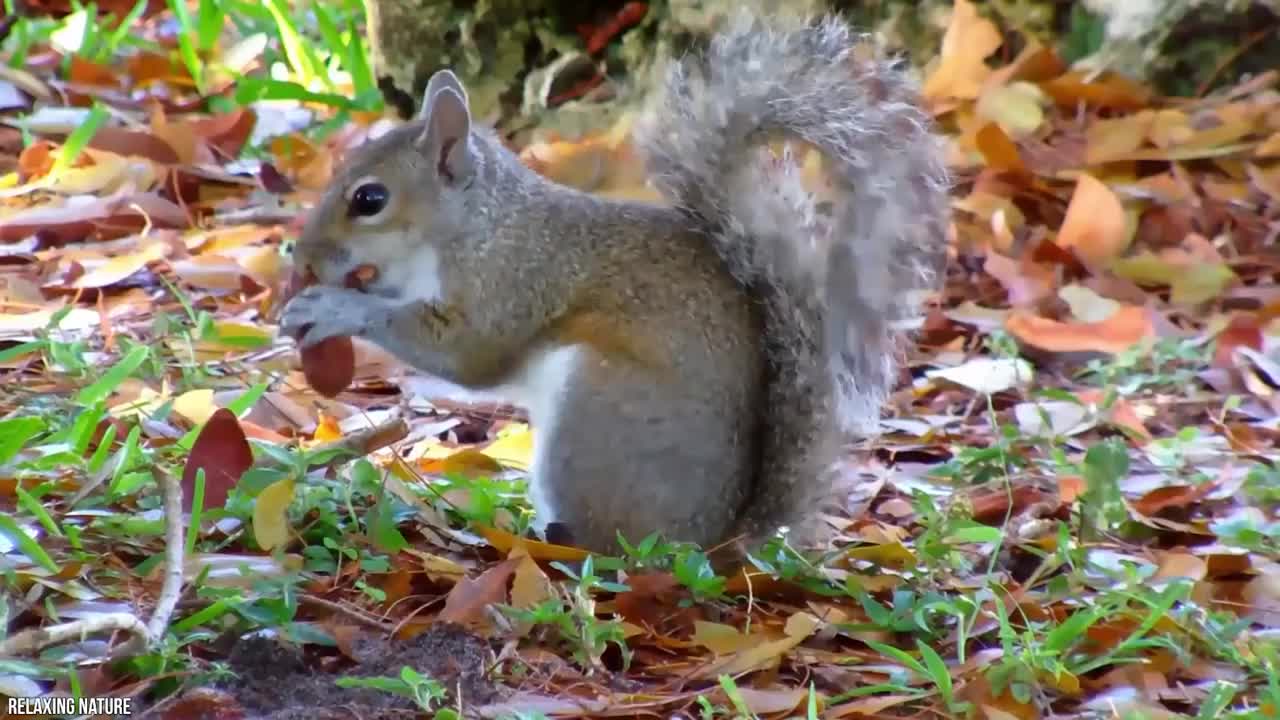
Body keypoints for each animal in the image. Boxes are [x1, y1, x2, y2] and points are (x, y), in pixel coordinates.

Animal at [280, 12, 952, 561]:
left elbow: (465, 353)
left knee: (605, 545)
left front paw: (336, 307)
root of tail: (711, 543)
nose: (304, 256)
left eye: (370, 199)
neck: (476, 224)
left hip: (597, 407)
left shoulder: (514, 279)